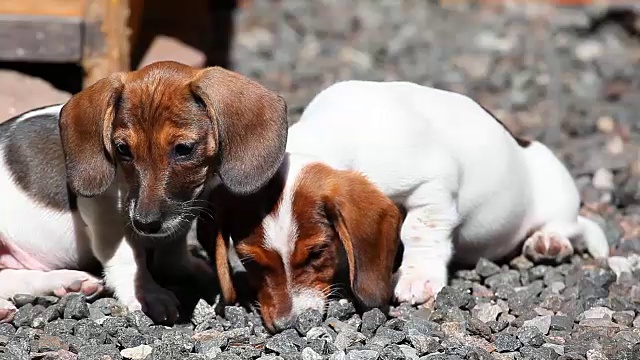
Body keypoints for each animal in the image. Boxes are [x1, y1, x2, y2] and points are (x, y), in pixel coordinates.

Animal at [204, 80, 608, 334]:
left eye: (317, 253)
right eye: (251, 262)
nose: (287, 326)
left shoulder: (432, 184)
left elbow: (419, 229)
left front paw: (417, 278)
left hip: (556, 190)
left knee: (569, 226)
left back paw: (548, 242)